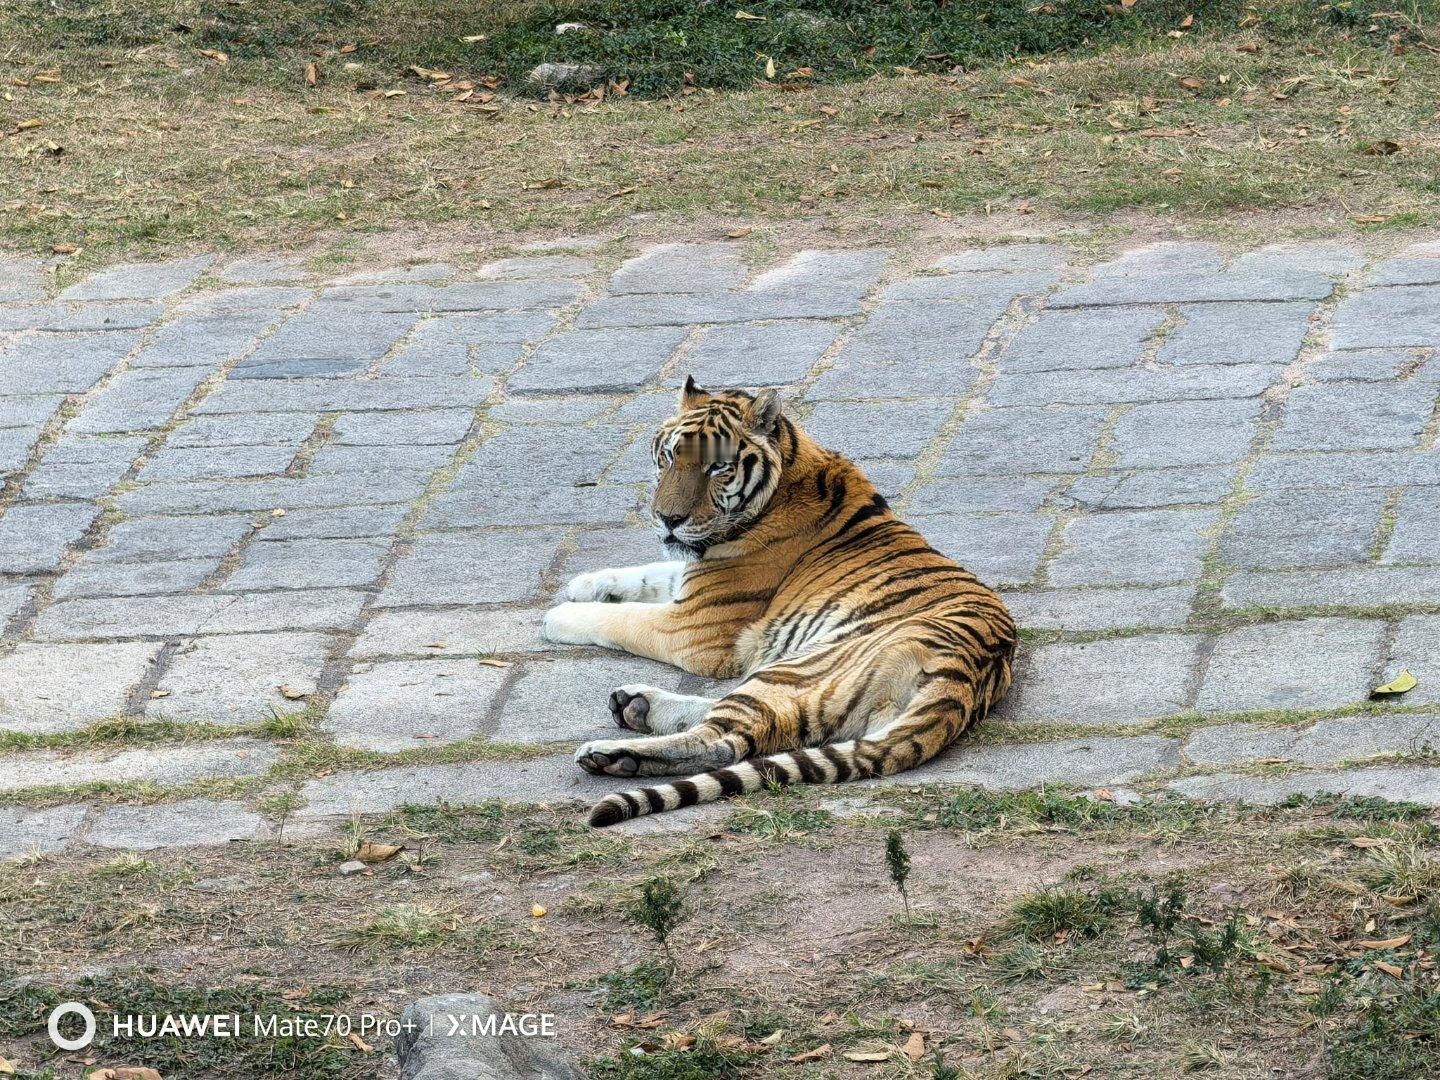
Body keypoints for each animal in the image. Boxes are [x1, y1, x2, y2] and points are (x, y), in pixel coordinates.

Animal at [535, 377, 1019, 829]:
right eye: (670, 457)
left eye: (717, 467)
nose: (667, 519)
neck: (788, 466)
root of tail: (963, 676)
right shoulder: (693, 579)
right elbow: (651, 573)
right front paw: (583, 583)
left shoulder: (694, 627)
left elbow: (622, 619)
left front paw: (558, 615)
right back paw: (635, 705)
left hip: (798, 666)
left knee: (725, 741)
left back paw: (613, 752)